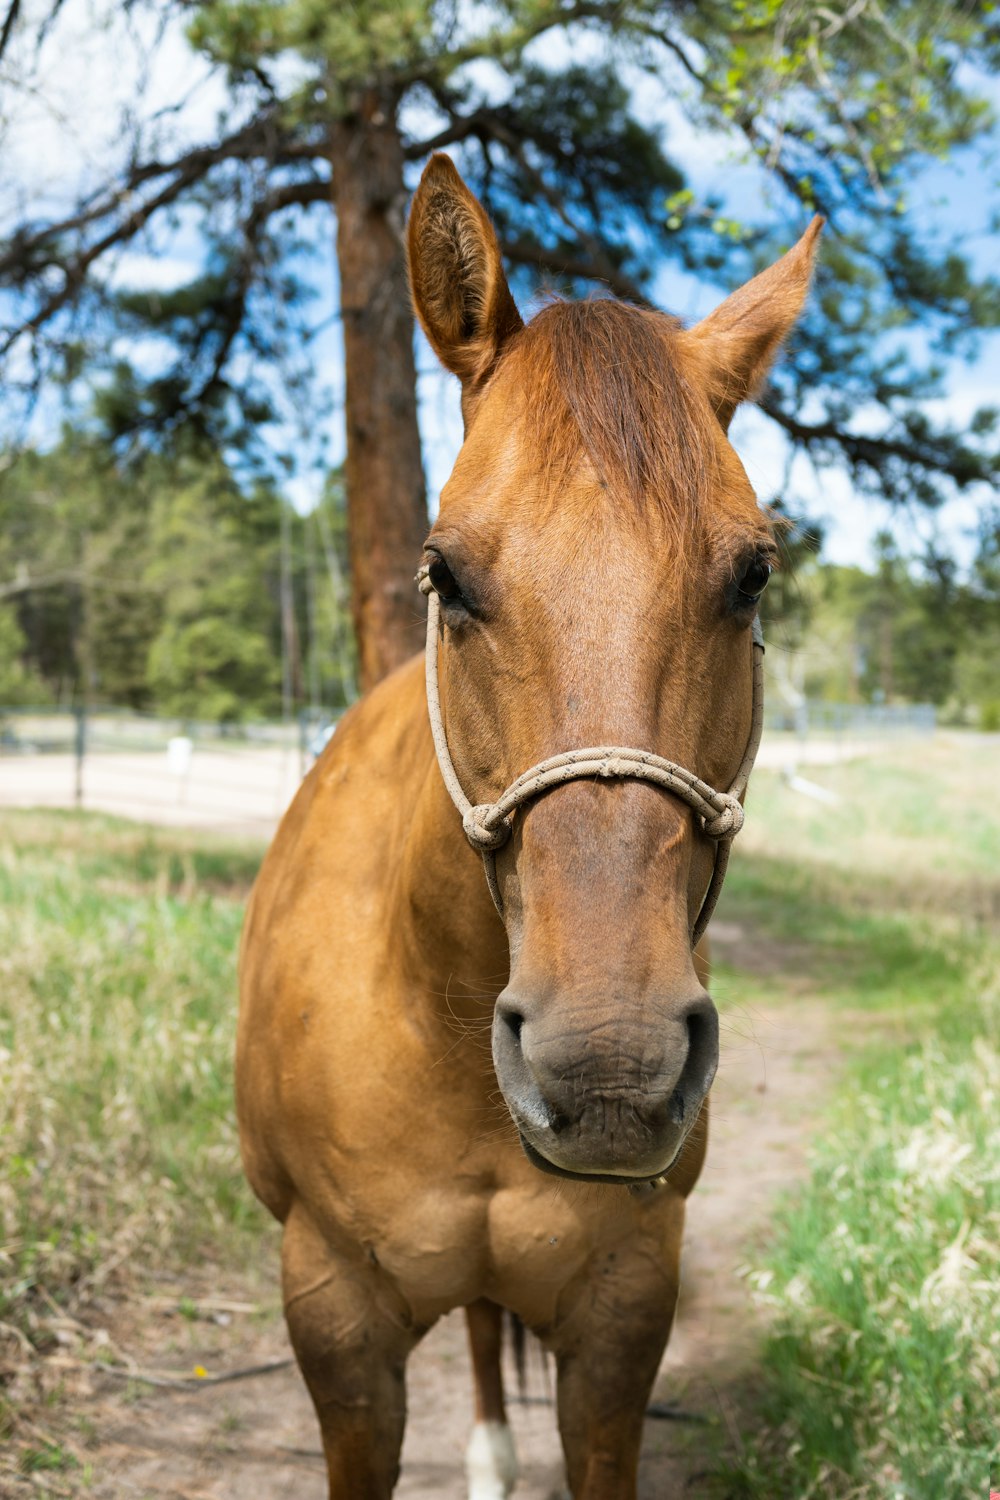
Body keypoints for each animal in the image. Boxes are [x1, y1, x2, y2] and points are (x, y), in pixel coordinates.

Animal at [236, 155, 821, 1500]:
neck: (431, 1004)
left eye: (752, 574)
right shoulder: (333, 1317)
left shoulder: (622, 1312)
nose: (607, 1062)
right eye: (445, 574)